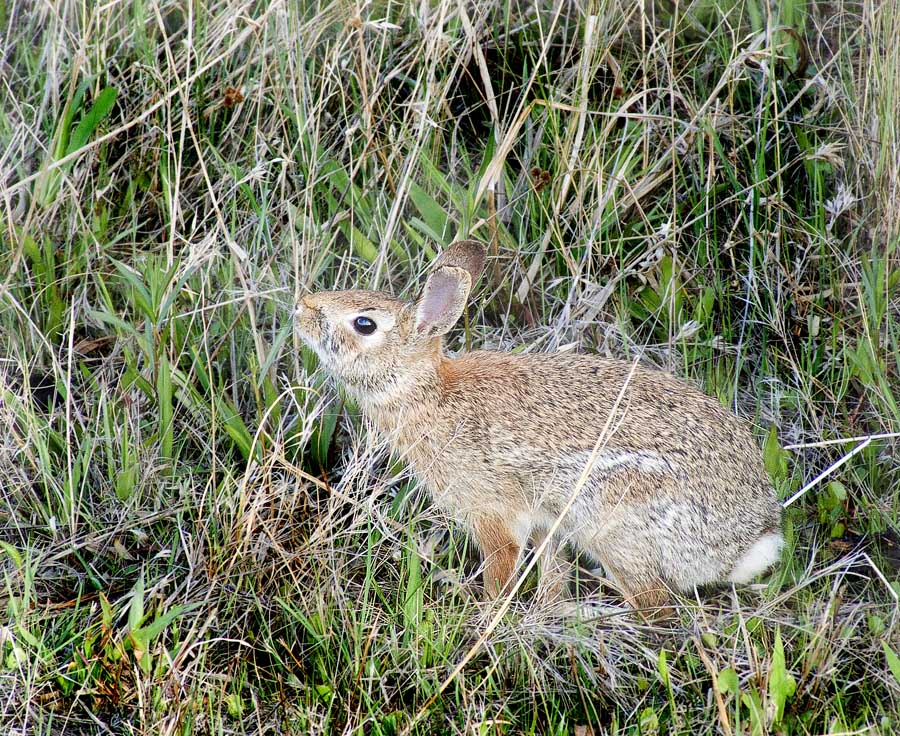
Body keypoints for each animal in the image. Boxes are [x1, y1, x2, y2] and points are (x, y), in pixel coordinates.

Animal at [296, 239, 780, 612]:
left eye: (364, 323)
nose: (301, 309)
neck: (427, 392)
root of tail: (746, 540)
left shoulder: (493, 513)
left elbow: (501, 566)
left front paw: (485, 614)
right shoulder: (544, 520)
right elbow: (552, 571)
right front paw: (544, 609)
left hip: (616, 525)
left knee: (654, 606)